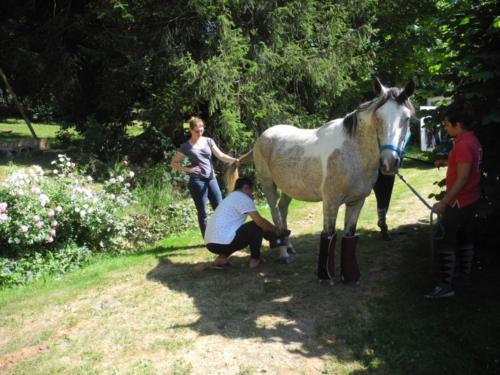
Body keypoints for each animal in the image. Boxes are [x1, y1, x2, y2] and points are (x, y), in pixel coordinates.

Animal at [227, 77, 414, 284]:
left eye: (406, 118)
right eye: (378, 118)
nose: (389, 162)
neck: (352, 152)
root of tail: (260, 139)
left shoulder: (357, 202)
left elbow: (349, 236)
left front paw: (350, 277)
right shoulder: (331, 202)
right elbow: (329, 235)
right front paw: (326, 276)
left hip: (289, 188)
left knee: (283, 210)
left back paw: (289, 246)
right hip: (269, 185)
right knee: (276, 215)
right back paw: (284, 254)